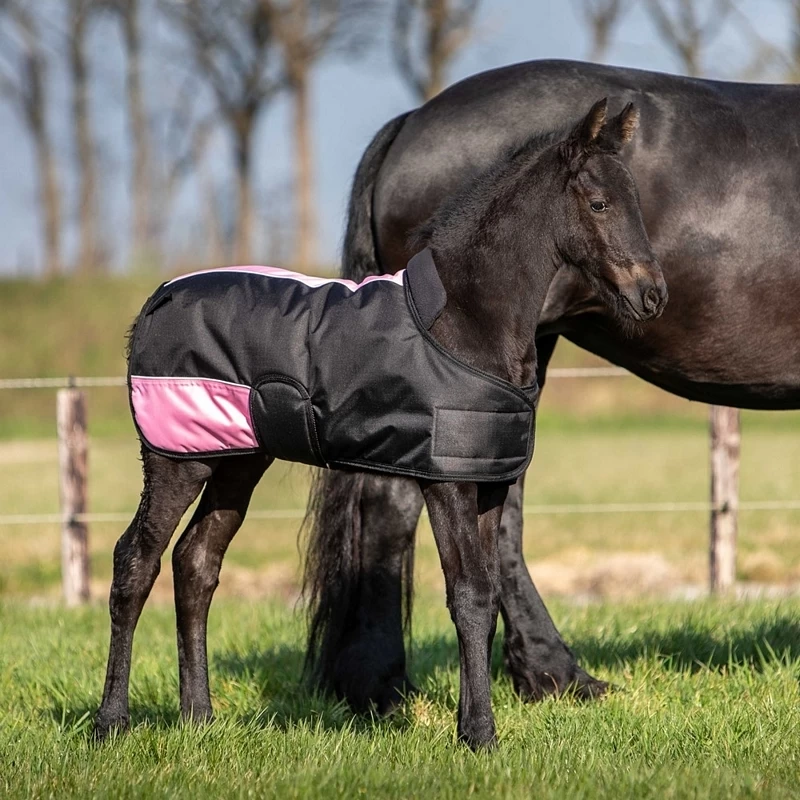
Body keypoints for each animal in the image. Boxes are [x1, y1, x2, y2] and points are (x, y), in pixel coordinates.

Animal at [94, 98, 665, 749]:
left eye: (636, 200)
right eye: (598, 203)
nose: (653, 297)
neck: (463, 321)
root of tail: (154, 303)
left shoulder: (489, 483)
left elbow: (488, 595)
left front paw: (475, 725)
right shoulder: (447, 483)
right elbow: (469, 595)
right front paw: (479, 734)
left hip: (238, 462)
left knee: (196, 563)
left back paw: (199, 719)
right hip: (174, 458)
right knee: (135, 562)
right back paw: (111, 723)